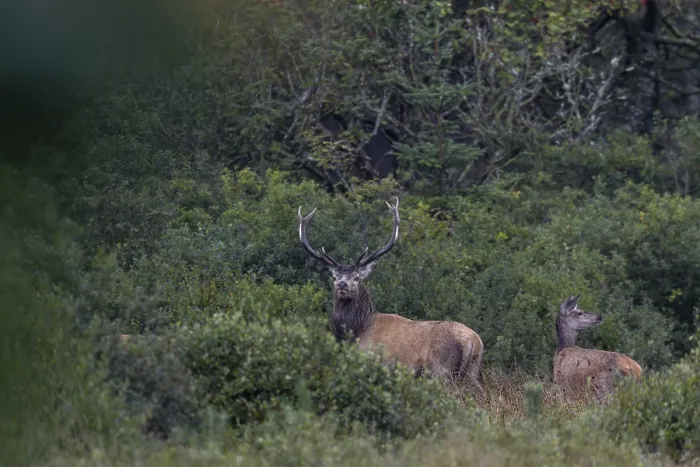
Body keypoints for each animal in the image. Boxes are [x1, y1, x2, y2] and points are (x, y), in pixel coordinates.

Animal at [298, 197, 484, 392]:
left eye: (357, 277)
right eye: (334, 276)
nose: (343, 284)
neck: (356, 332)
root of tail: (472, 341)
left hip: (441, 372)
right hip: (472, 373)